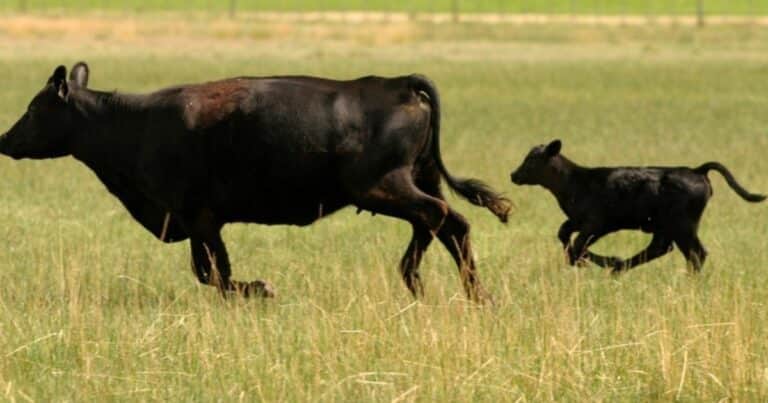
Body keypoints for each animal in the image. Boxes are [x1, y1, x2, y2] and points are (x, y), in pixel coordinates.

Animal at [0, 62, 510, 302]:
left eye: (33, 107)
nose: (5, 139)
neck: (134, 125)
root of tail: (396, 82)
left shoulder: (198, 216)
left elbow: (212, 272)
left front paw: (262, 289)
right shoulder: (202, 220)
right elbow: (212, 271)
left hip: (383, 186)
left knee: (438, 217)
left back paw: (431, 284)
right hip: (416, 179)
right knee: (450, 223)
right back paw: (468, 294)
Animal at [510, 139, 765, 273]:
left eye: (532, 160)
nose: (513, 175)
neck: (575, 182)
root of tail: (697, 170)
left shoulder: (597, 223)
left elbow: (578, 244)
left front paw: (596, 260)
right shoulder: (577, 220)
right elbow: (564, 234)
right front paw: (587, 261)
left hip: (683, 224)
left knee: (695, 253)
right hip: (666, 226)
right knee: (662, 248)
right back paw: (621, 267)